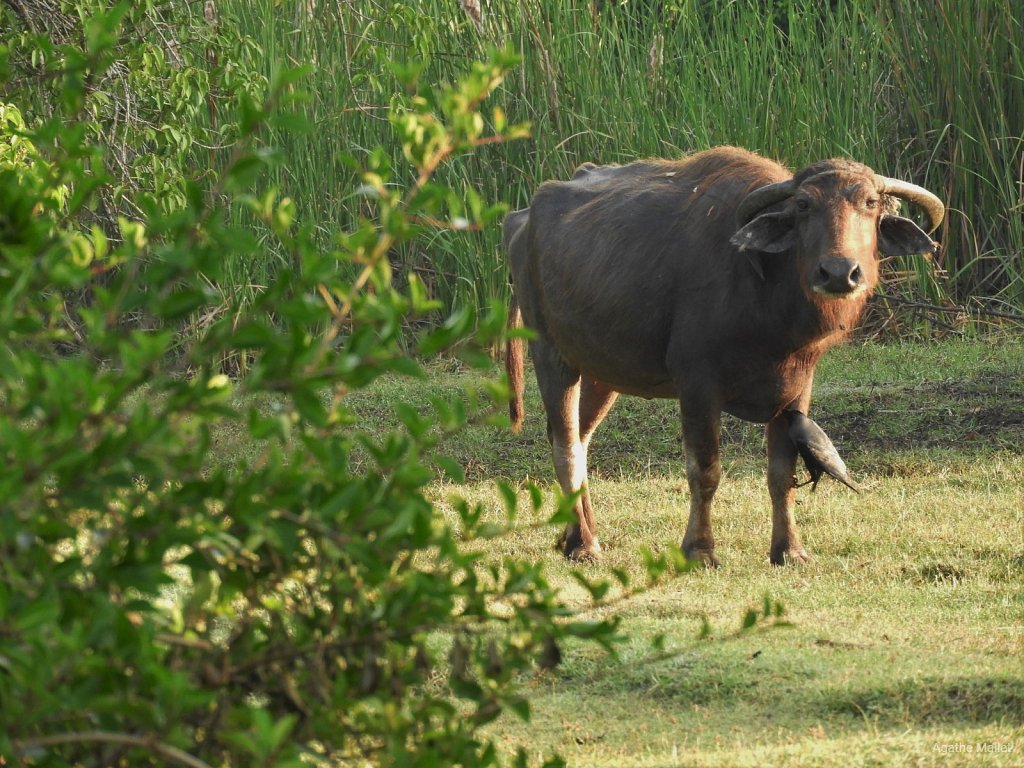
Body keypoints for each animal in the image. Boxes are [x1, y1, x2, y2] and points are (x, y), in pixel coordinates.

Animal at [503, 145, 942, 565]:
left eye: (869, 202)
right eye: (803, 205)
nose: (838, 272)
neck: (766, 297)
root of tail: (520, 221)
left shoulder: (796, 391)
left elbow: (781, 474)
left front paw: (790, 550)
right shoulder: (697, 385)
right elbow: (705, 471)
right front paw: (699, 550)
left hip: (601, 371)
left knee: (579, 441)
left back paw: (577, 536)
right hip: (551, 356)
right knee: (566, 448)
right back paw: (585, 545)